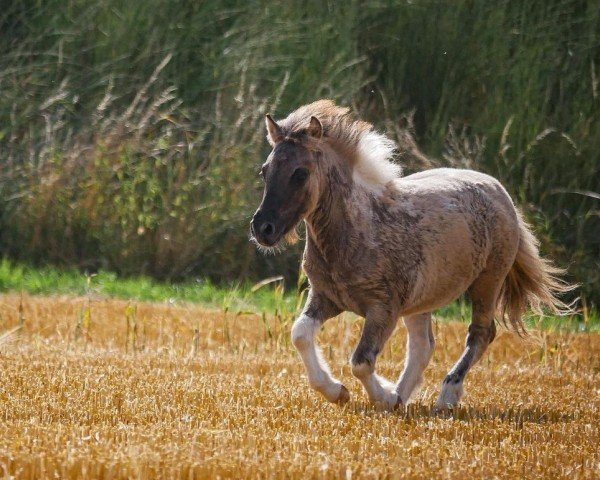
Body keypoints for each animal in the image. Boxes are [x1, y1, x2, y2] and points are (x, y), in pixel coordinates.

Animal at [248, 100, 572, 408]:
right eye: (265, 171)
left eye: (300, 173)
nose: (262, 228)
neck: (356, 232)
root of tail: (500, 192)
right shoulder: (326, 298)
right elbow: (300, 334)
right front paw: (340, 392)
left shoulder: (383, 309)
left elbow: (360, 362)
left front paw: (382, 396)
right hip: (421, 301)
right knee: (423, 346)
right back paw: (403, 397)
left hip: (488, 282)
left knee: (480, 334)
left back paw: (446, 397)